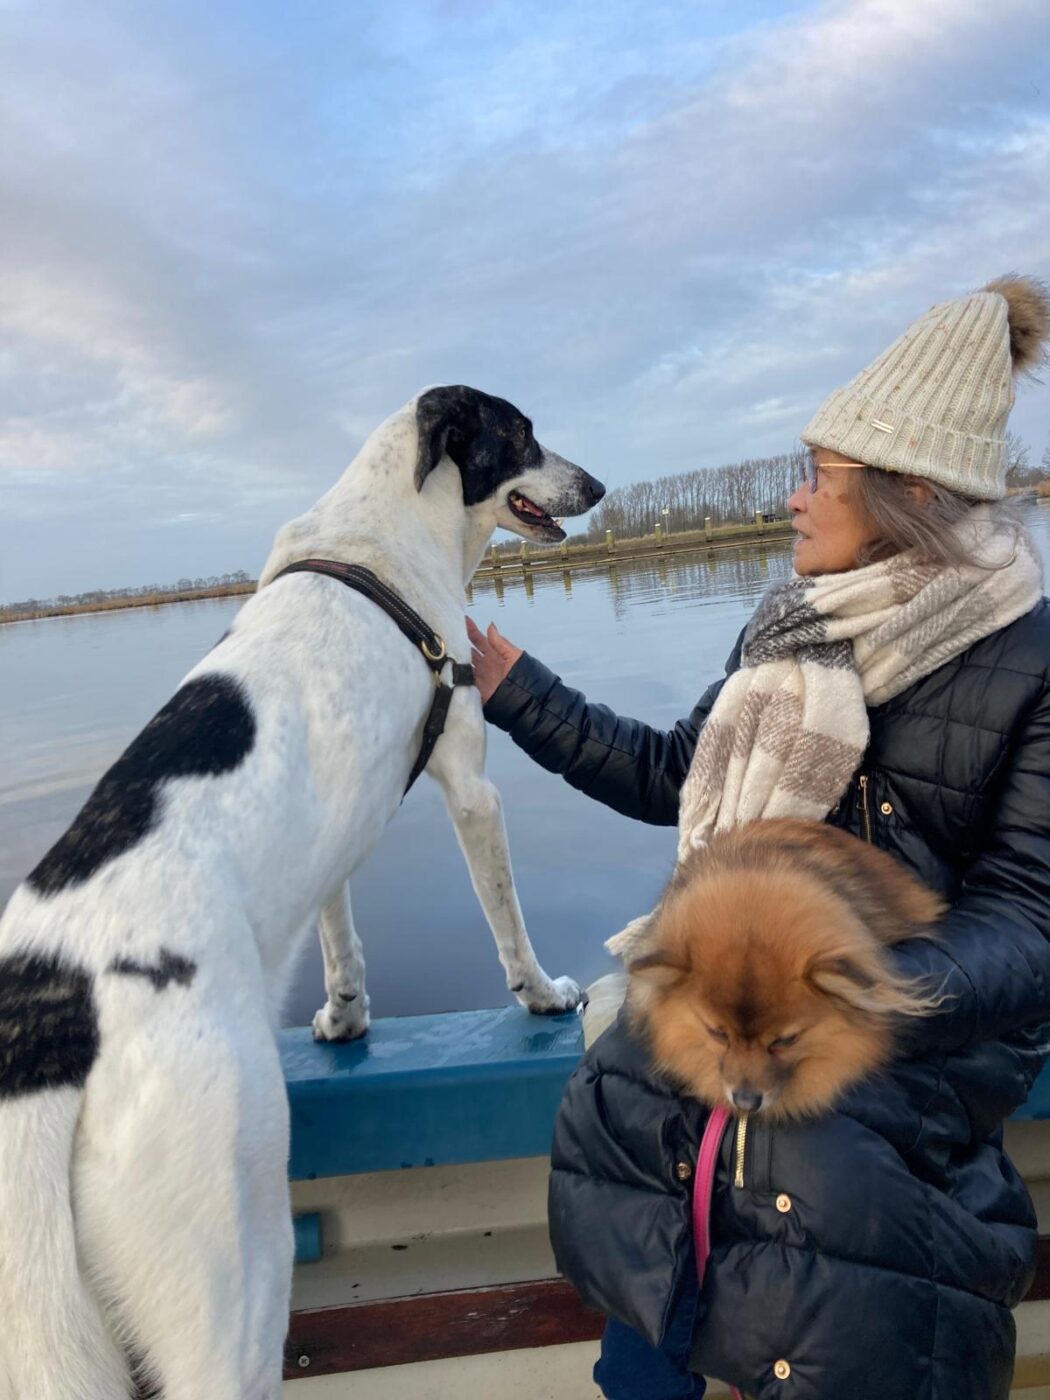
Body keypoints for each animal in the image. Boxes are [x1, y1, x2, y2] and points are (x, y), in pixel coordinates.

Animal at [0, 385, 604, 1400]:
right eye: (520, 434)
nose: (597, 484)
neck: (385, 527)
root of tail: (54, 1013)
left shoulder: (337, 836)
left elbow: (338, 939)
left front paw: (346, 1018)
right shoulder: (470, 784)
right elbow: (507, 920)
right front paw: (544, 995)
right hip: (231, 1278)